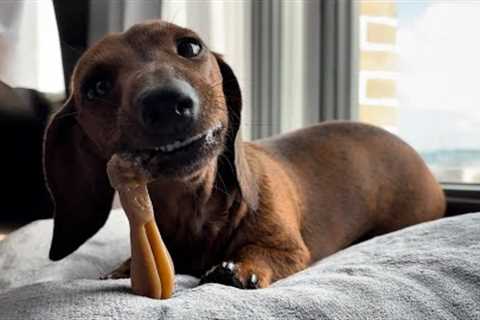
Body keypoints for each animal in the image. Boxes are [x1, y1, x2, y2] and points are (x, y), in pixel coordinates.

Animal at [43, 21, 444, 288]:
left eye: (190, 47)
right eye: (96, 86)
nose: (167, 102)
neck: (194, 209)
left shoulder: (288, 249)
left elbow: (260, 255)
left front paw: (237, 269)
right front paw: (123, 268)